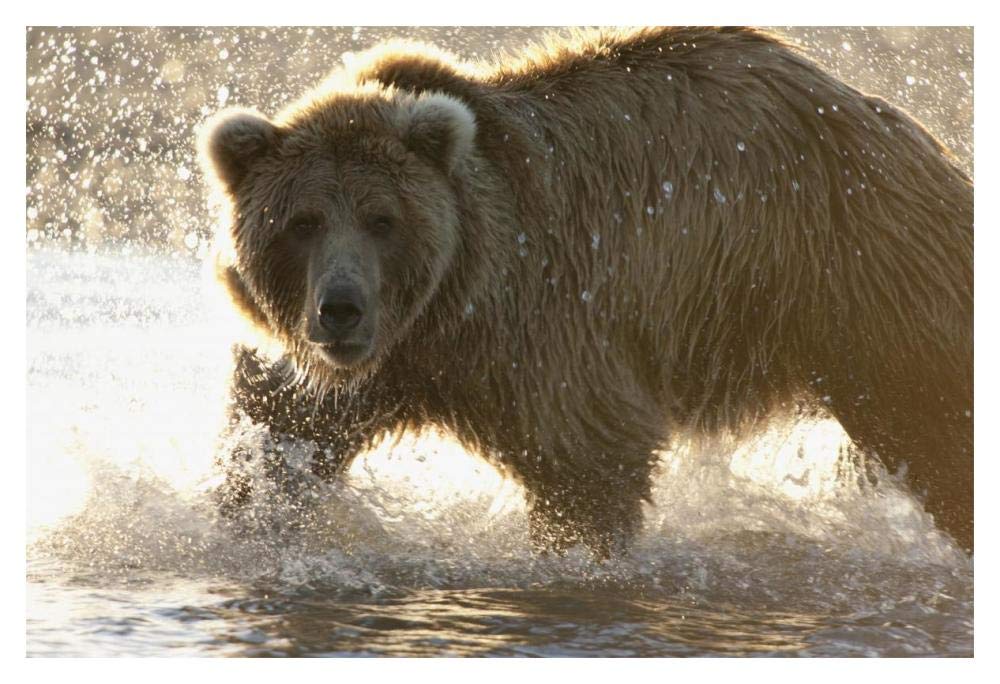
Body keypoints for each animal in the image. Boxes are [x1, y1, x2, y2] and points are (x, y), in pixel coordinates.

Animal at [199, 27, 973, 556]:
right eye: (302, 222)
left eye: (382, 219)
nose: (341, 308)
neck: (446, 312)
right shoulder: (366, 370)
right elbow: (279, 434)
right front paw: (248, 521)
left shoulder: (545, 317)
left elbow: (588, 455)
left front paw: (576, 557)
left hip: (859, 275)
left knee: (935, 424)